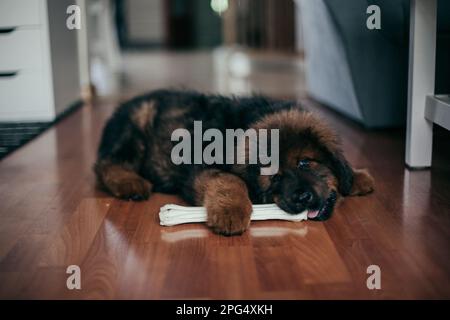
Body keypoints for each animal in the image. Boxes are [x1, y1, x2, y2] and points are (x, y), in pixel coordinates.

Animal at [94, 89, 372, 235]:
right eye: (275, 178)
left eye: (305, 163)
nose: (302, 197)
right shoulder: (201, 170)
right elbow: (228, 179)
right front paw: (231, 211)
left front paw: (358, 176)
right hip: (135, 128)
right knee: (105, 164)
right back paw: (130, 183)